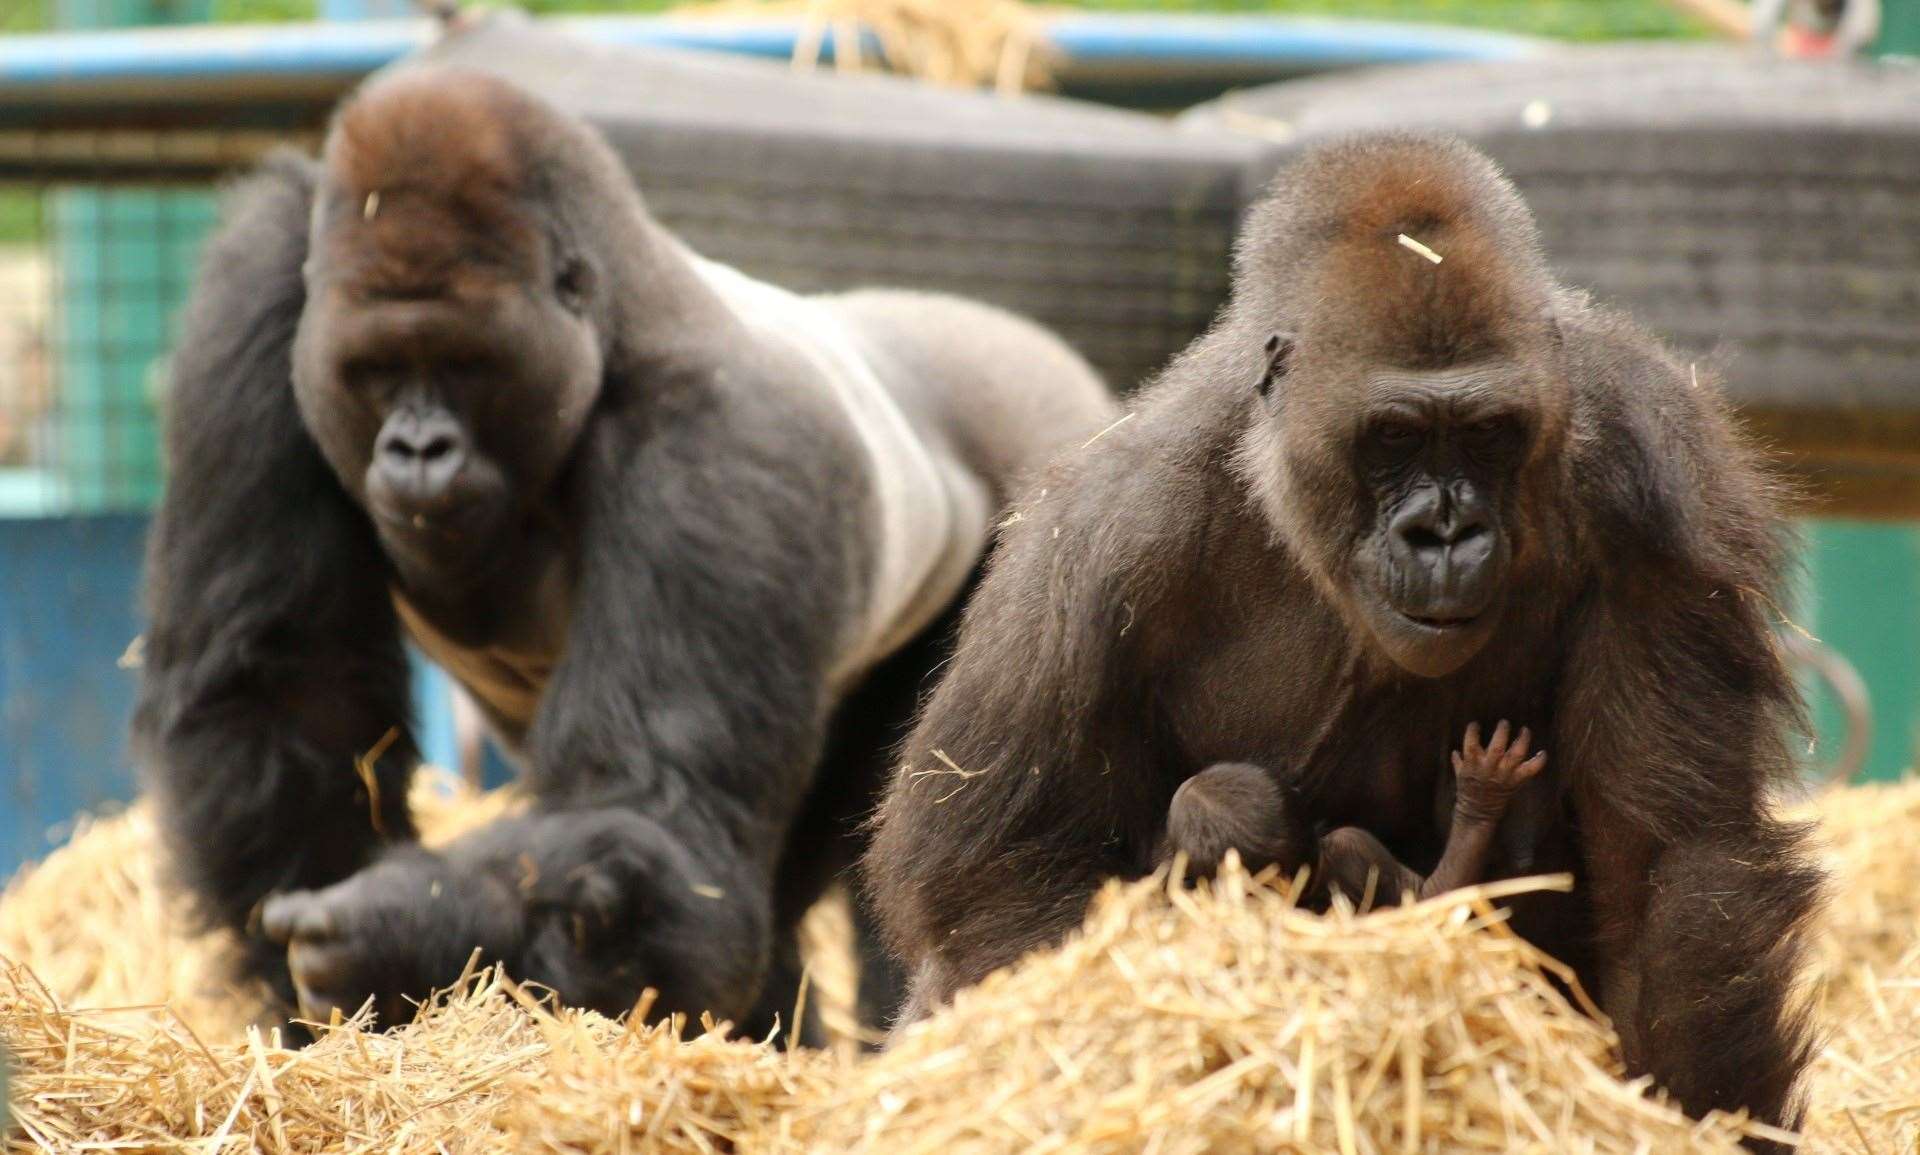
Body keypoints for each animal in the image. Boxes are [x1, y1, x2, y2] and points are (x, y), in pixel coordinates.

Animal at [139, 65, 1113, 1036]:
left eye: (468, 365)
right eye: (376, 371)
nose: (419, 451)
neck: (609, 317)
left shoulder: (721, 442)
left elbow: (654, 821)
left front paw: (406, 930)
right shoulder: (258, 285)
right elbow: (287, 690)